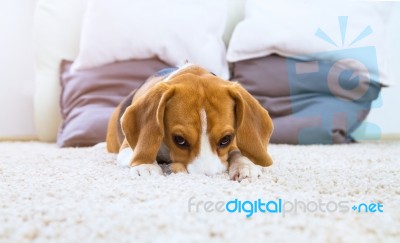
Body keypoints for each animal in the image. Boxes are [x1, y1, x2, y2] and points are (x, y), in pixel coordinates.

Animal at [106, 63, 274, 181]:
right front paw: (145, 165)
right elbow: (142, 150)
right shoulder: (127, 148)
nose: (206, 177)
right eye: (179, 140)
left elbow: (237, 152)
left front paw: (245, 165)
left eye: (226, 139)